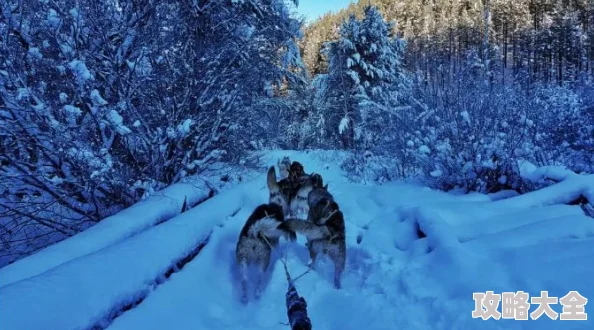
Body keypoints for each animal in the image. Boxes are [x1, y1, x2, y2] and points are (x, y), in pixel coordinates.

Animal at [234, 166, 294, 302]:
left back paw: (245, 297)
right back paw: (257, 292)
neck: (276, 203)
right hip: (264, 259)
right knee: (260, 276)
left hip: (242, 258)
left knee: (244, 278)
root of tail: (254, 233)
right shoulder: (276, 238)